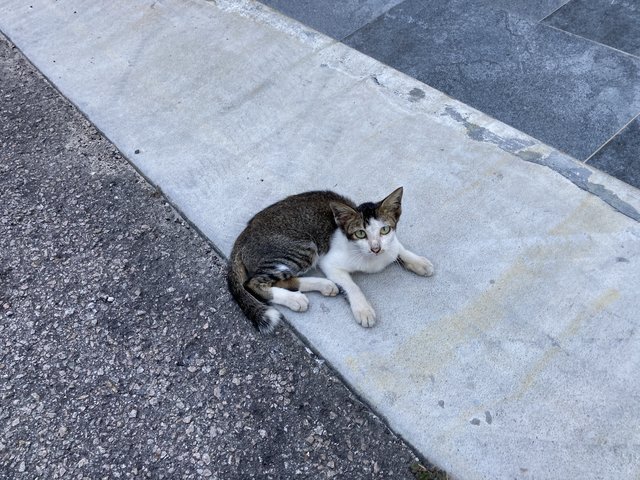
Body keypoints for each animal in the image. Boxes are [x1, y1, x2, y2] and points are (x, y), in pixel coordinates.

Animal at [226, 188, 436, 334]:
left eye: (384, 230)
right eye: (360, 233)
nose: (375, 248)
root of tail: (243, 235)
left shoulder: (389, 244)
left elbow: (397, 247)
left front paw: (418, 262)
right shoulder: (329, 262)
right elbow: (352, 286)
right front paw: (363, 309)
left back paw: (324, 285)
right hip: (303, 247)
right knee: (253, 283)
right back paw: (295, 299)